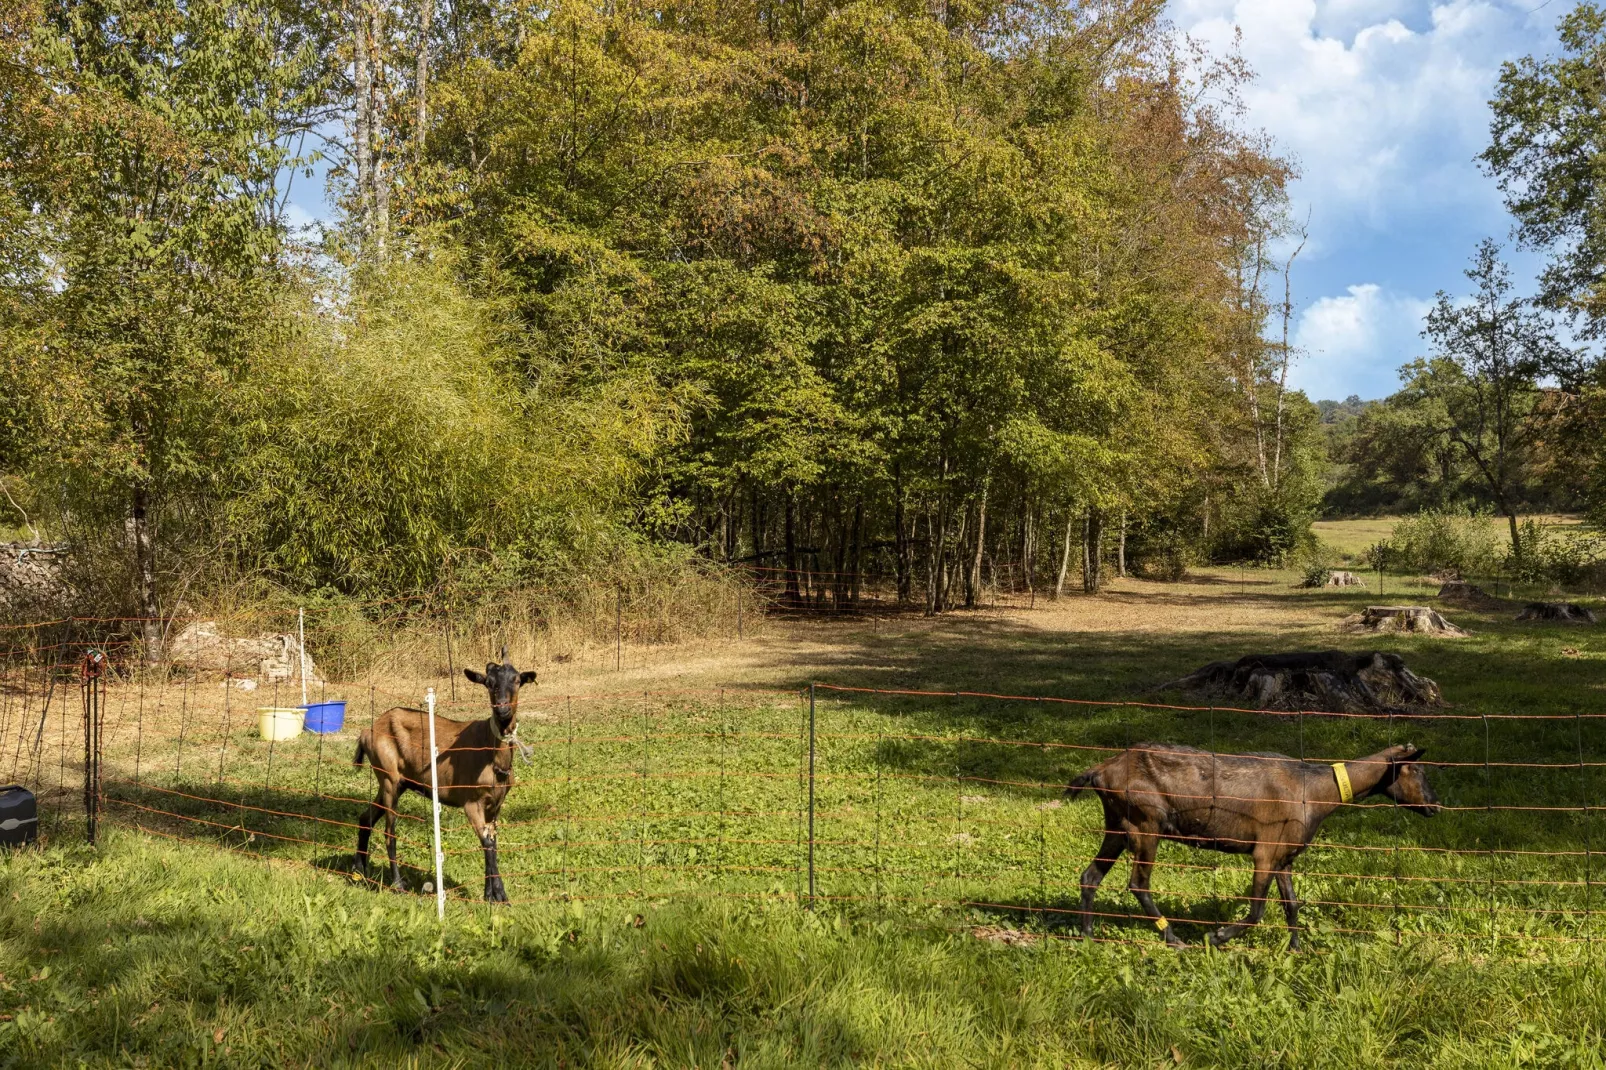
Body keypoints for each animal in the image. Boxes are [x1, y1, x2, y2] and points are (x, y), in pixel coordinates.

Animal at [354, 645, 536, 893]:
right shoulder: (472, 802)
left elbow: (492, 844)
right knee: (389, 832)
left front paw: (489, 894)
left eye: (517, 680)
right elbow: (487, 843)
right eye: (488, 683)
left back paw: (359, 871)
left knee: (366, 818)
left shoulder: (495, 805)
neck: (493, 757)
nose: (503, 710)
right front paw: (499, 895)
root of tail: (368, 730)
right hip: (389, 777)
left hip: (396, 782)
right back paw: (398, 883)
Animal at [1072, 739, 1438, 944]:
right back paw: (1173, 938)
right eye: (1417, 771)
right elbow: (1258, 910)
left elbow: (1292, 906)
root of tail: (1101, 770)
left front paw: (1296, 950)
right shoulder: (1265, 852)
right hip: (1145, 824)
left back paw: (1088, 936)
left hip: (1118, 825)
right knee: (1138, 883)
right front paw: (1216, 936)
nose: (1434, 805)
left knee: (1091, 876)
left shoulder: (1284, 857)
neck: (1314, 790)